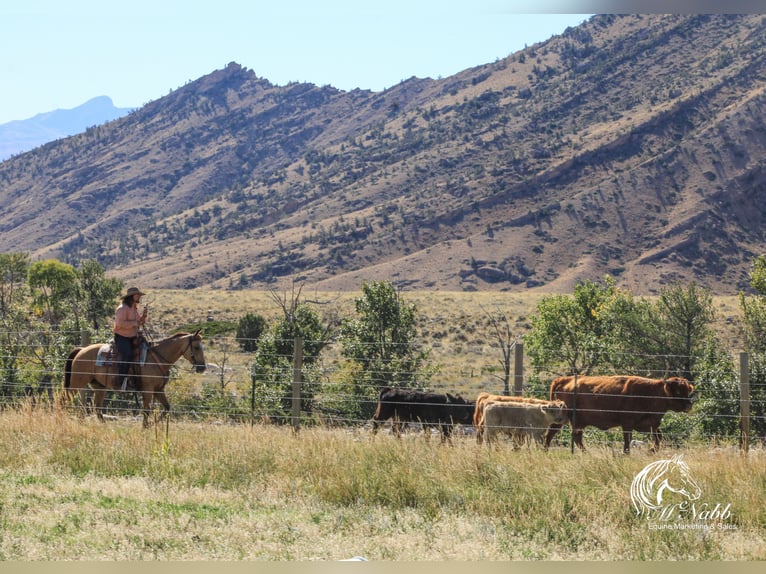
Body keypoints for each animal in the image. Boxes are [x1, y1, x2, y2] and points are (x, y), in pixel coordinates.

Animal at [63, 332, 206, 428]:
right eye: (197, 347)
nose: (202, 367)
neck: (157, 359)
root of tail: (81, 350)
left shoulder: (158, 390)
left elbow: (166, 408)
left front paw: (151, 425)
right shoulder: (148, 390)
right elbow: (147, 410)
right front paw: (145, 427)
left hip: (99, 386)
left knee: (97, 408)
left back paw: (105, 426)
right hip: (76, 383)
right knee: (64, 400)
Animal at [544, 376, 700, 456]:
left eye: (687, 390)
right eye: (678, 391)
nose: (689, 404)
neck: (653, 392)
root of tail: (563, 380)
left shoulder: (650, 424)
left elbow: (658, 438)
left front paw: (651, 450)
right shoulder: (628, 423)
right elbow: (627, 439)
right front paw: (627, 453)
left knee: (562, 434)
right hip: (569, 420)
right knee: (563, 435)